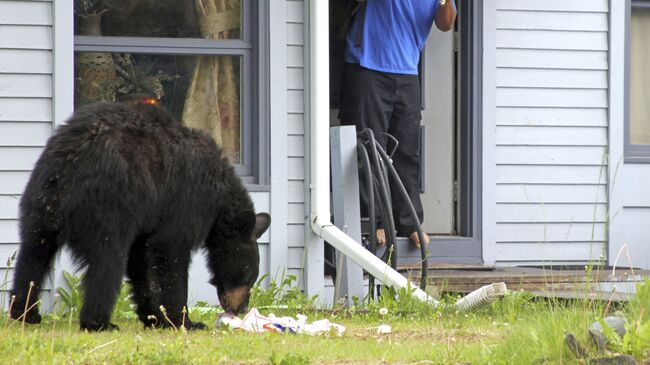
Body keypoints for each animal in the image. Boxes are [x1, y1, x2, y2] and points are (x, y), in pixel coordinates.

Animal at [10, 101, 268, 330]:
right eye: (248, 275)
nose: (242, 308)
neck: (219, 196)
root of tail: (68, 167)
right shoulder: (186, 202)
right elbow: (171, 253)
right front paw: (184, 321)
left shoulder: (147, 219)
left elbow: (140, 263)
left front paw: (155, 318)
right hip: (109, 205)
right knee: (107, 263)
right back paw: (98, 323)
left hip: (39, 202)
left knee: (33, 255)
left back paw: (25, 313)